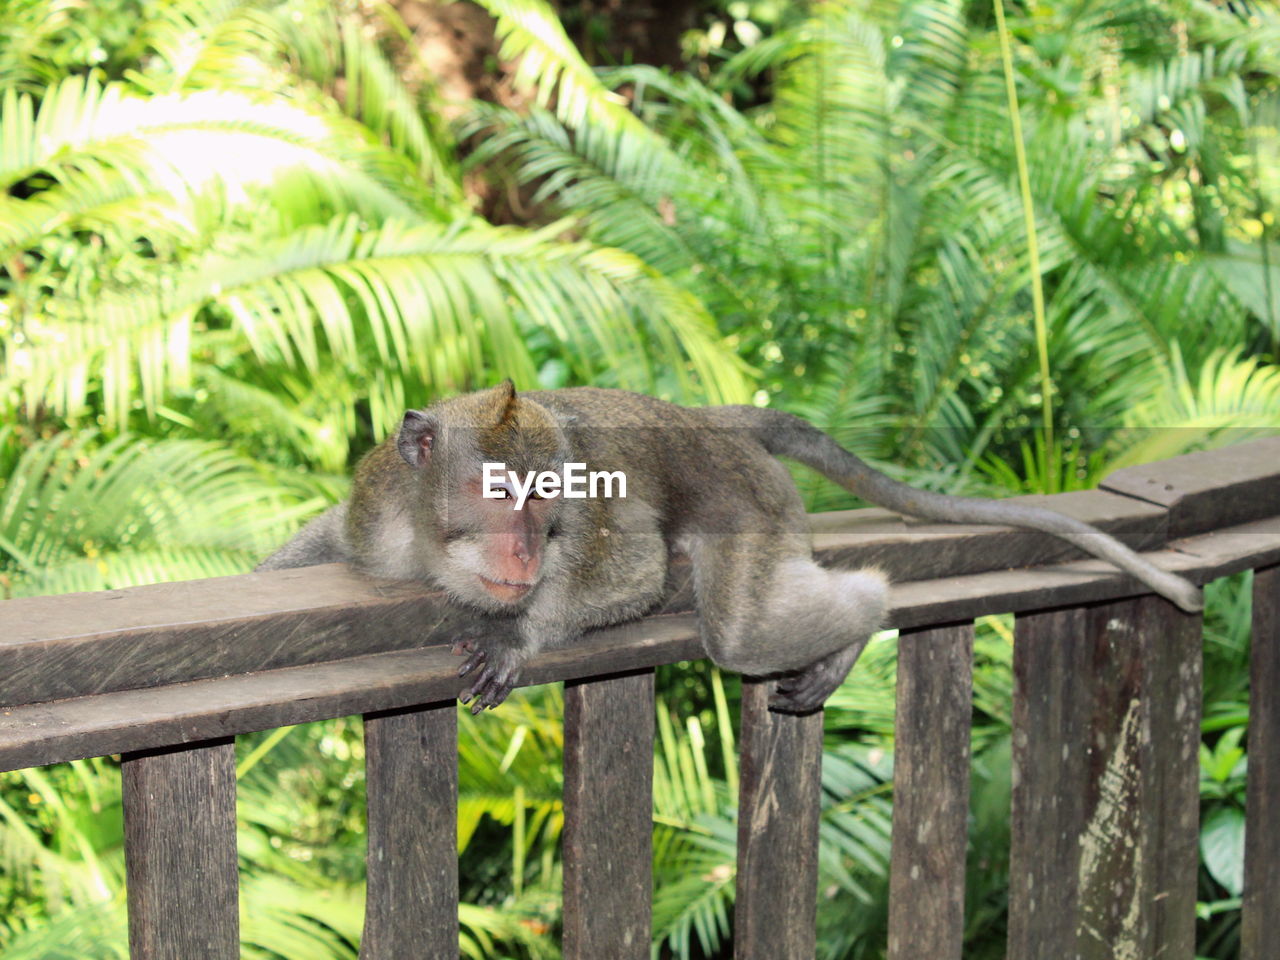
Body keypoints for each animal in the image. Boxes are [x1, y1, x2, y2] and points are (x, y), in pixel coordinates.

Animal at [257, 381, 1198, 716]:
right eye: (500, 496)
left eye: (546, 502)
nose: (525, 556)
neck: (434, 543)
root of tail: (710, 420)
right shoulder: (380, 506)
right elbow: (332, 543)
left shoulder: (590, 528)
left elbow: (633, 576)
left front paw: (515, 635)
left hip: (754, 500)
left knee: (745, 632)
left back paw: (865, 613)